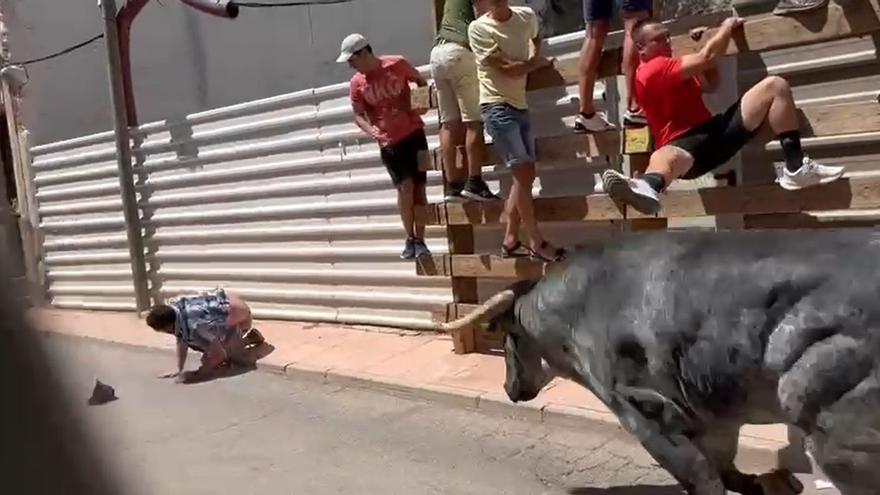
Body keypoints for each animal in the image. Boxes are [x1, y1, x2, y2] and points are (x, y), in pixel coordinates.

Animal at [444, 231, 880, 495]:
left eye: (507, 337)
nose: (508, 388)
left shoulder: (644, 410)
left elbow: (701, 477)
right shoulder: (714, 419)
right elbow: (725, 468)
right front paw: (773, 481)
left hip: (834, 435)